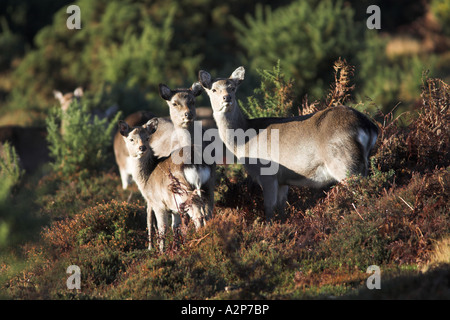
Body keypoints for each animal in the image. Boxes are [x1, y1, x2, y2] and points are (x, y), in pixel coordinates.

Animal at [199, 66, 378, 221]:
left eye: (233, 88)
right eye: (214, 90)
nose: (226, 98)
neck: (244, 142)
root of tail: (369, 127)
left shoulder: (267, 174)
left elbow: (269, 208)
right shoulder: (283, 179)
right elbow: (281, 207)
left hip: (344, 162)